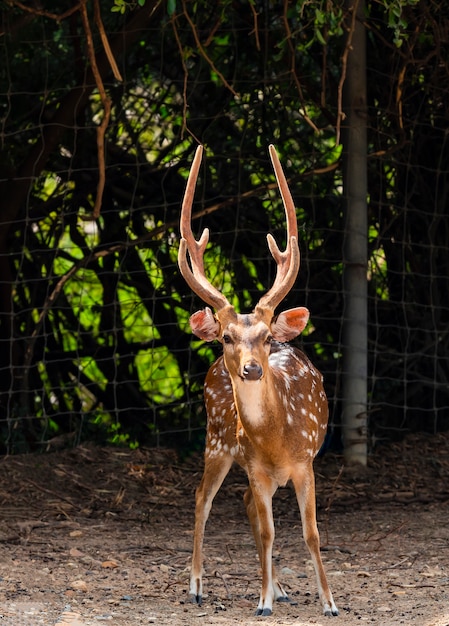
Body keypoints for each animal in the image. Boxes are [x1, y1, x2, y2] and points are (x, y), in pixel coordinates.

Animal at [177, 144, 338, 616]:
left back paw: (281, 587)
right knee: (203, 497)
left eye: (267, 337)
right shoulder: (256, 468)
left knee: (244, 504)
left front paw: (328, 601)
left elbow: (312, 533)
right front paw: (263, 601)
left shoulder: (306, 462)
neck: (276, 441)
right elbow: (268, 531)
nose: (251, 367)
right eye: (227, 336)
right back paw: (196, 585)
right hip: (216, 439)